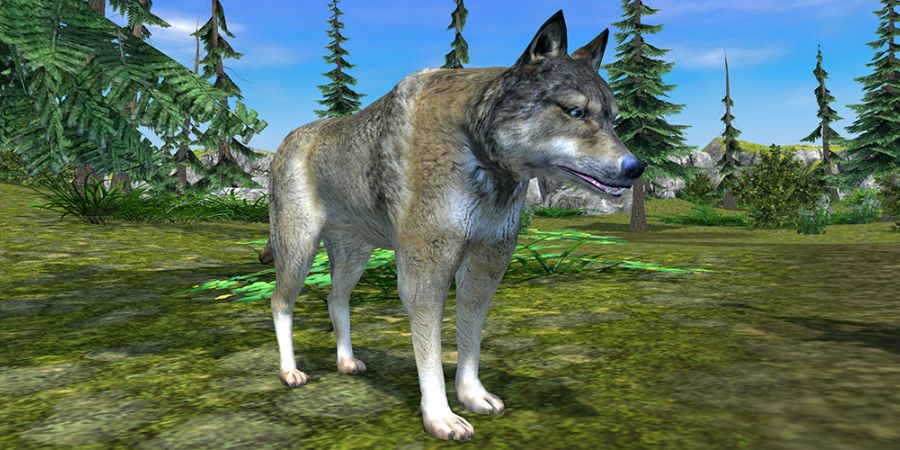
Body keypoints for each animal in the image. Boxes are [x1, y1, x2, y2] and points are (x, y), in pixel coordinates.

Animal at [267, 10, 644, 441]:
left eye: (613, 119)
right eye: (575, 112)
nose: (636, 168)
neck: (478, 148)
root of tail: (284, 143)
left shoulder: (486, 267)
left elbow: (470, 337)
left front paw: (472, 395)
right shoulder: (423, 274)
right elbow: (430, 353)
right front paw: (440, 417)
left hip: (354, 256)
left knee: (336, 299)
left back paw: (346, 362)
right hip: (298, 249)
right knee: (280, 303)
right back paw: (290, 371)